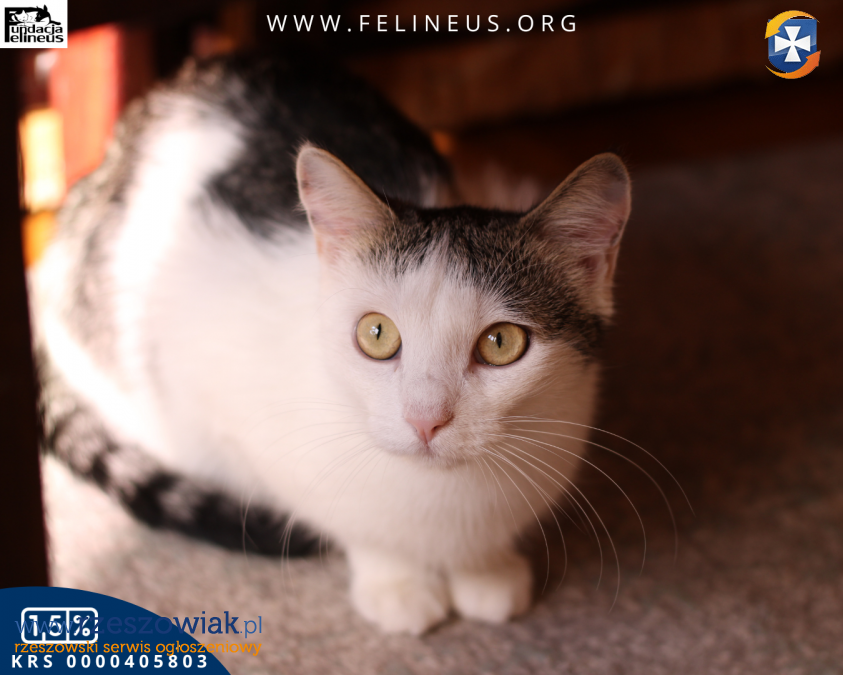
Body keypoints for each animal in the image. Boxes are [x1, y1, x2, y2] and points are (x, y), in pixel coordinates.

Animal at [32, 55, 631, 635]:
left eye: (501, 342)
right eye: (377, 334)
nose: (425, 419)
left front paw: (484, 569)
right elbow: (345, 520)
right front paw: (396, 581)